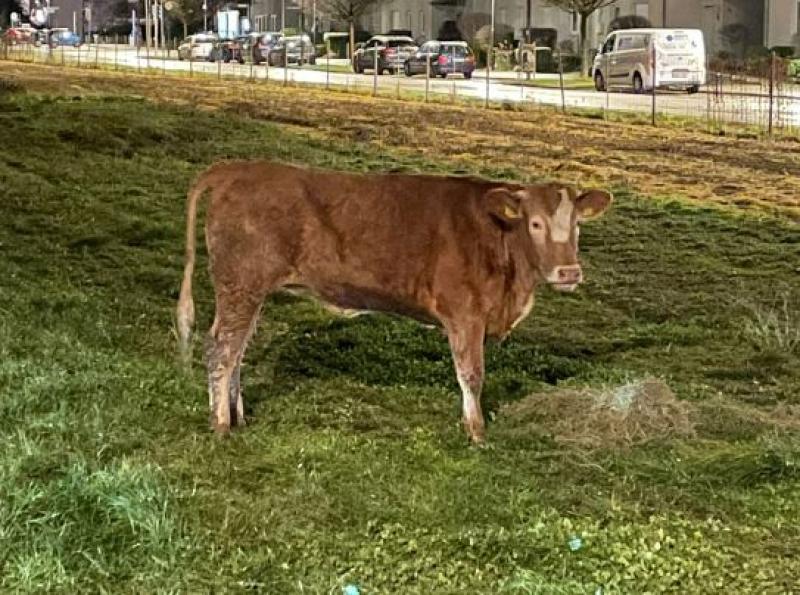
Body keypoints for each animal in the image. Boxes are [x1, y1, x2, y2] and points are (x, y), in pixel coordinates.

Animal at [177, 161, 612, 444]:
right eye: (535, 223)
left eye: (577, 224)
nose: (569, 272)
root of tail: (237, 169)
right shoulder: (464, 314)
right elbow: (471, 374)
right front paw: (477, 432)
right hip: (240, 284)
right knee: (221, 349)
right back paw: (221, 425)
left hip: (250, 290)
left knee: (237, 350)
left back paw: (237, 416)